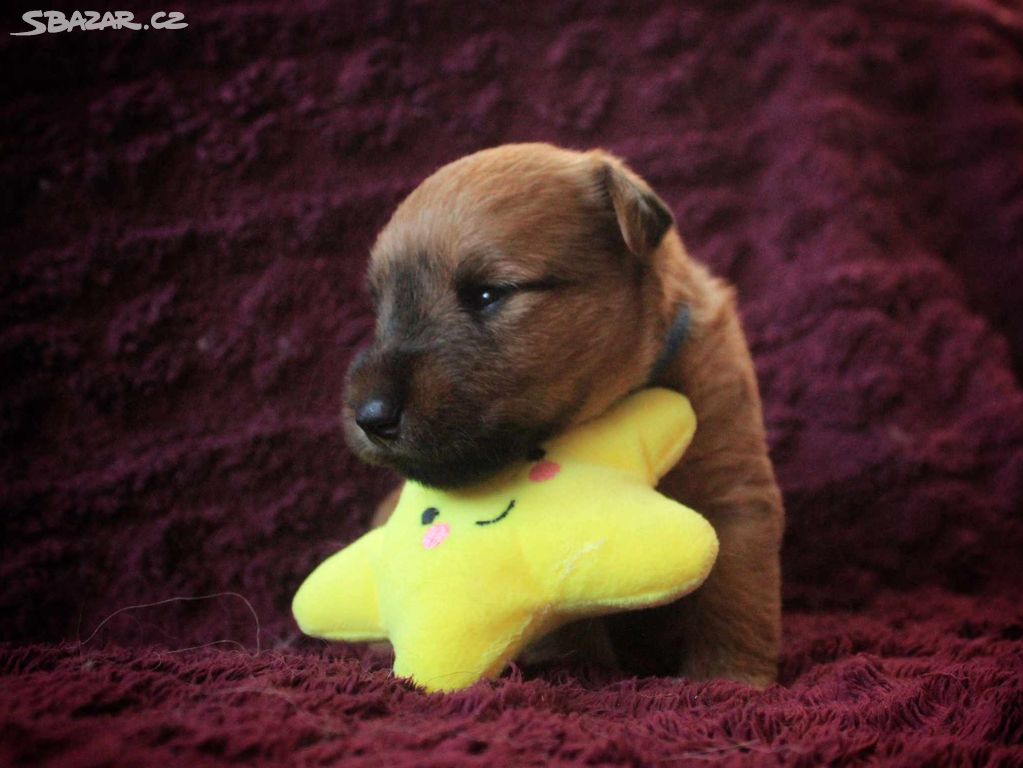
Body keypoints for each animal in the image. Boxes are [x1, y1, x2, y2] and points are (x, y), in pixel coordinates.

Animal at [343, 143, 781, 683]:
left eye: (488, 293)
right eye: (380, 304)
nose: (369, 416)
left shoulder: (735, 490)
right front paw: (579, 675)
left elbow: (736, 595)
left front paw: (728, 679)